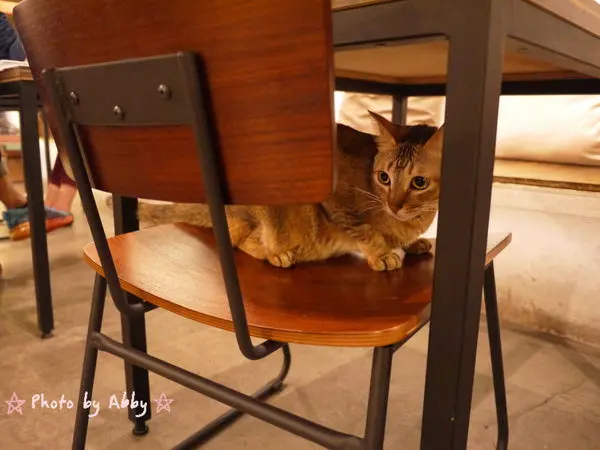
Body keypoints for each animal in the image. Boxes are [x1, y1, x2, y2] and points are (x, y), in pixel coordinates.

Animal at [137, 112, 444, 271]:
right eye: (384, 177)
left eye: (419, 182)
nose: (395, 205)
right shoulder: (334, 198)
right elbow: (366, 231)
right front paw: (382, 253)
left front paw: (411, 243)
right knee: (242, 240)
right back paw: (276, 254)